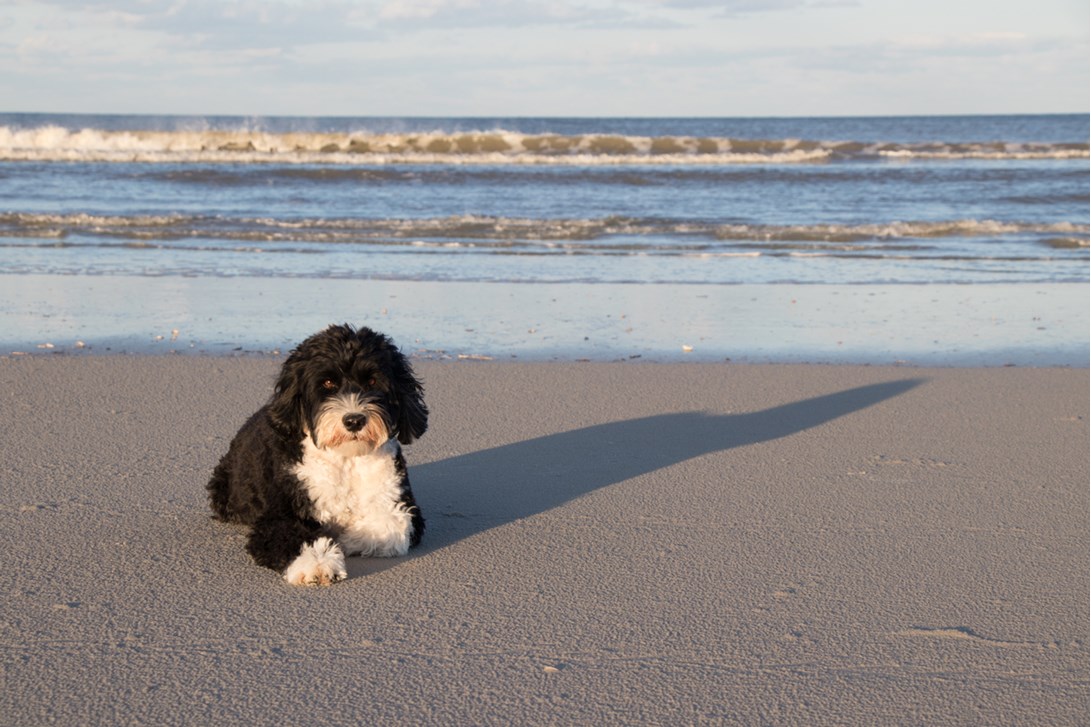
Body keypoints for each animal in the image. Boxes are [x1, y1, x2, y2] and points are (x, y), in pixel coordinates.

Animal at [206, 323, 427, 585]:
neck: (345, 459)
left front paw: (348, 537)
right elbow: (295, 537)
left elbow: (393, 525)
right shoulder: (277, 517)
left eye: (372, 381)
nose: (354, 420)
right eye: (328, 383)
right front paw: (317, 563)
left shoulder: (401, 503)